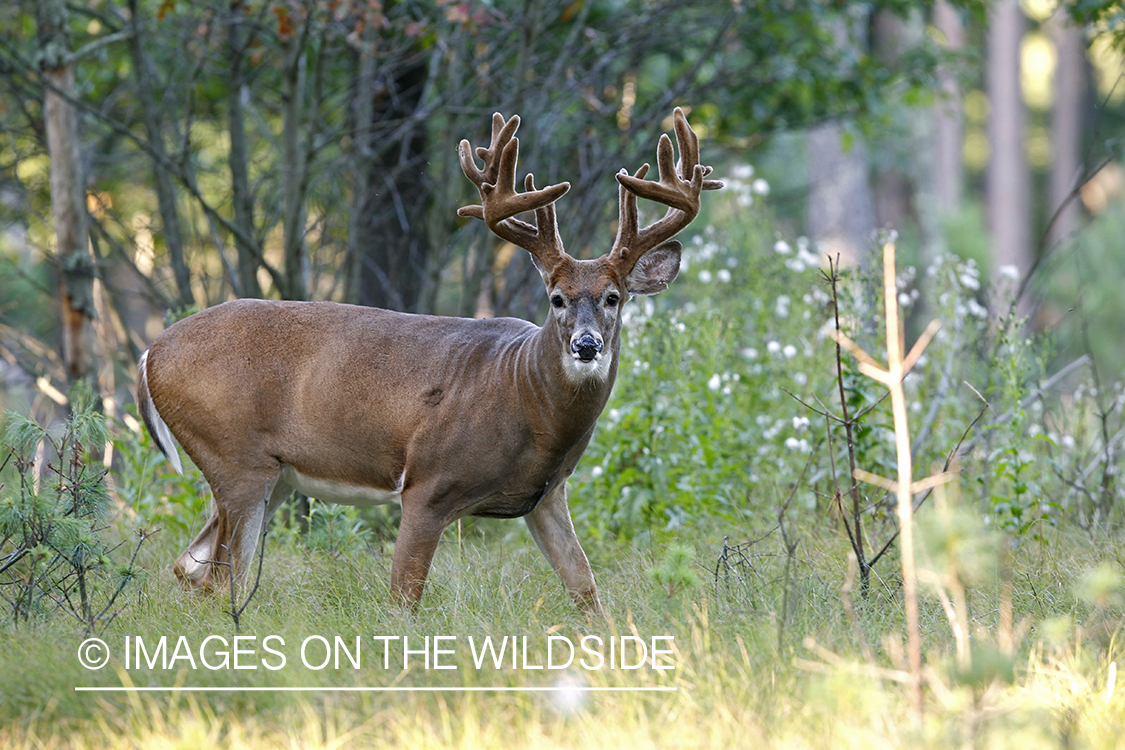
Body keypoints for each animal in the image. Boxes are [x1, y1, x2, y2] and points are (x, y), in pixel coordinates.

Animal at [136, 110, 720, 616]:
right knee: (221, 575)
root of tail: (150, 352)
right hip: (234, 456)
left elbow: (586, 590)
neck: (526, 399)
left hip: (274, 476)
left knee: (191, 567)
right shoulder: (427, 484)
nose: (586, 345)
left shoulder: (548, 494)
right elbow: (403, 600)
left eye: (614, 297)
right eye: (556, 297)